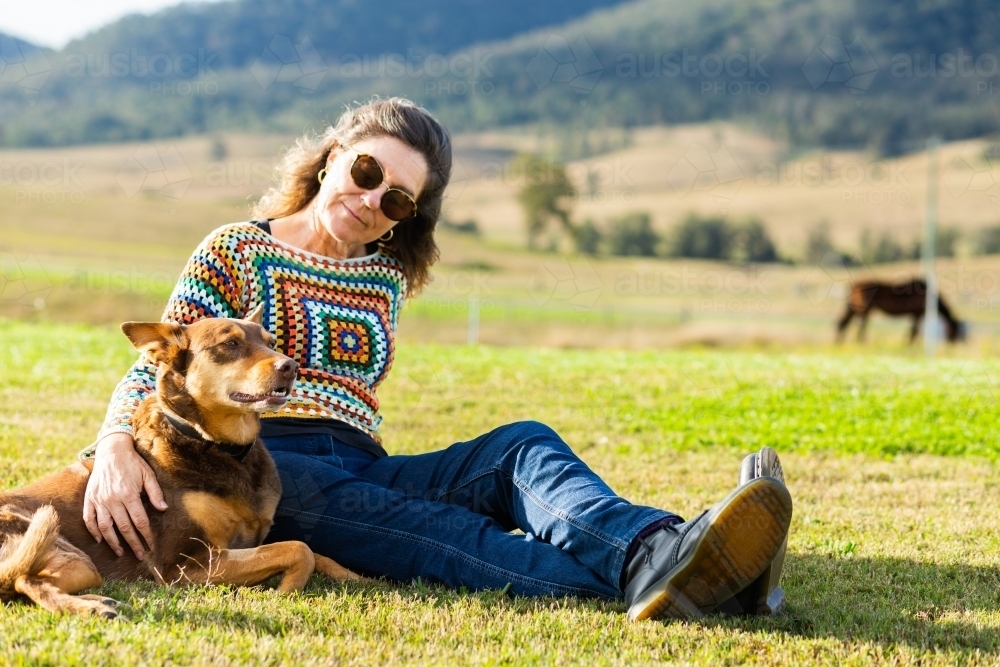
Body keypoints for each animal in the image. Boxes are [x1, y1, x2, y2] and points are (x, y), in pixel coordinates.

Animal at [0, 310, 360, 620]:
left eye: (270, 342)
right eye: (230, 344)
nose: (292, 366)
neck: (217, 447)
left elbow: (315, 552)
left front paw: (354, 576)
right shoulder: (185, 566)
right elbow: (299, 548)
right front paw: (288, 588)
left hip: (79, 568)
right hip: (66, 551)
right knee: (25, 580)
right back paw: (92, 608)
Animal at [836, 280, 968, 348]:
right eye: (953, 330)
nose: (953, 343)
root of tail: (853, 286)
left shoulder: (915, 315)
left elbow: (913, 330)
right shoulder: (917, 314)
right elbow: (914, 331)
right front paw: (909, 344)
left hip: (854, 309)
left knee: (843, 323)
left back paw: (841, 342)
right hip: (864, 310)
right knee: (861, 326)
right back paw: (862, 343)